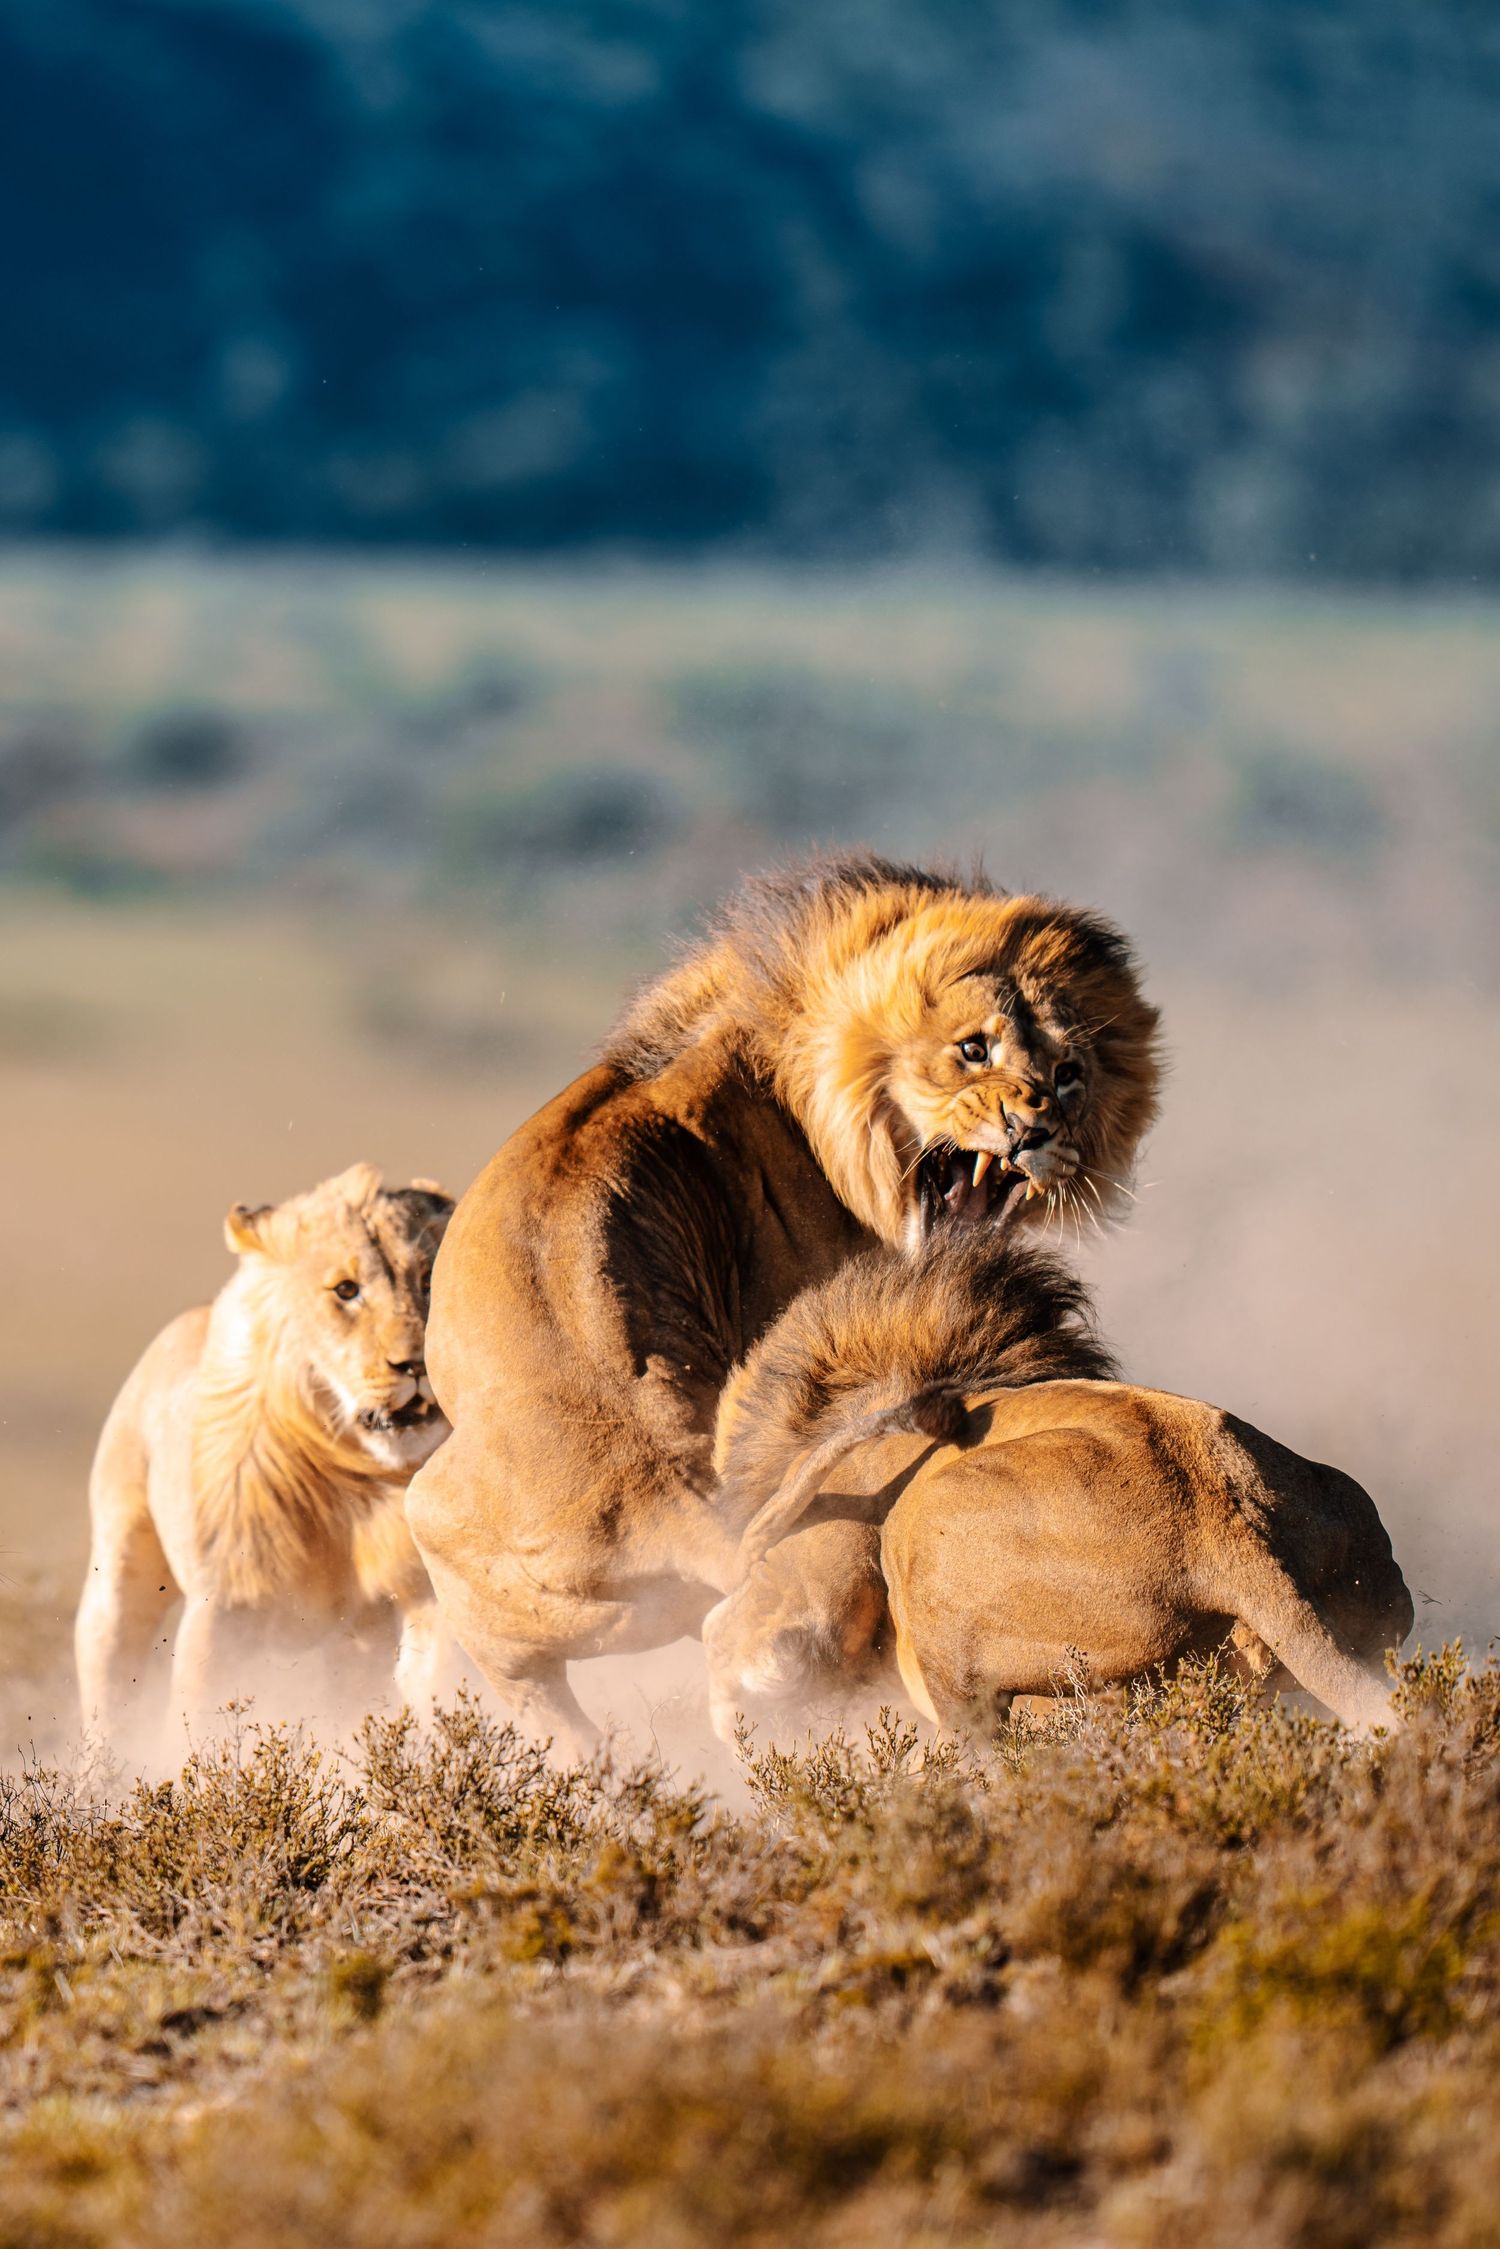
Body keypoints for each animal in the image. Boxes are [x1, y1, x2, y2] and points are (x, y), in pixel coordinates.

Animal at [76, 1163, 456, 1751]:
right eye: (346, 1290)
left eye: (429, 1281)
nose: (415, 1363)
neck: (358, 1478)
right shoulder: (225, 1604)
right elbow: (198, 1722)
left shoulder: (421, 1593)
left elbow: (437, 1690)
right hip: (119, 1571)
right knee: (108, 1687)